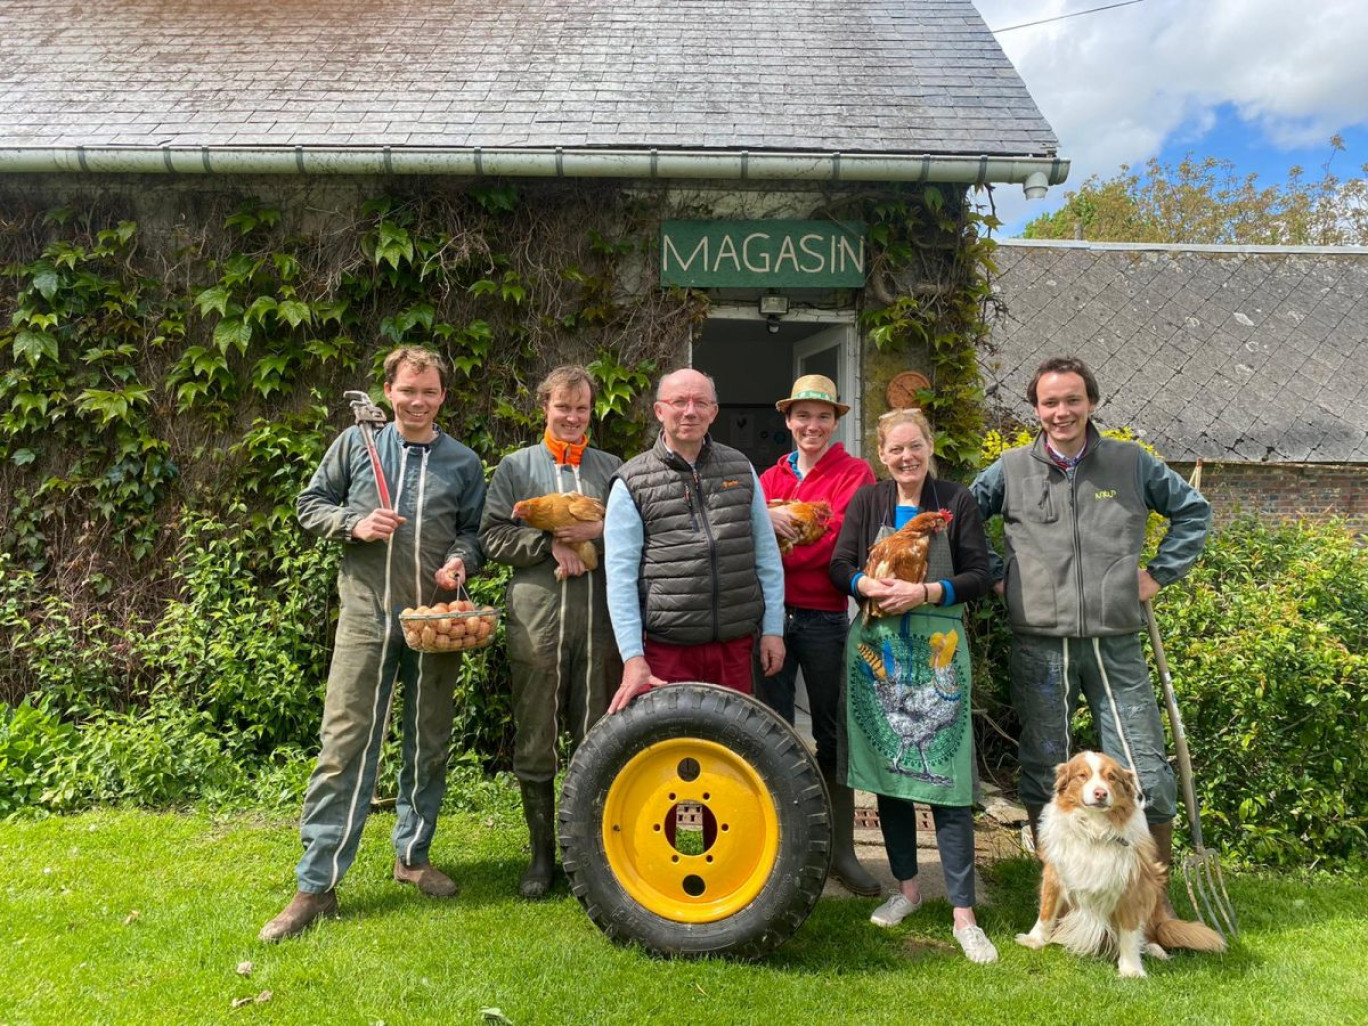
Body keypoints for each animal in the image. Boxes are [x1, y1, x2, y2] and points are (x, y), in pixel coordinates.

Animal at [1017, 749, 1231, 974]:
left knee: (1150, 934)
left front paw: (1131, 969)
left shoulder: (1131, 884)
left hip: (1152, 890)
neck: (1095, 830)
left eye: (1111, 777)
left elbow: (1129, 931)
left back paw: (1155, 949)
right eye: (1082, 775)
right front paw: (1034, 939)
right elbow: (1046, 911)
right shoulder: (1055, 873)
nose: (1100, 793)